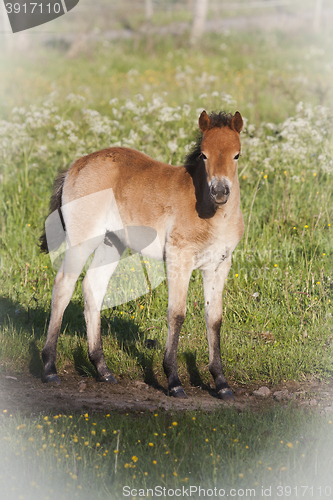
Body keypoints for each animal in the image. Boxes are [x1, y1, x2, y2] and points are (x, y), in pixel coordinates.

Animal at [40, 108, 243, 398]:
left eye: (237, 155)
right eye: (204, 154)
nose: (220, 191)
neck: (211, 213)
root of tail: (76, 165)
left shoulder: (219, 265)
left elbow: (214, 319)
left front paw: (222, 384)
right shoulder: (179, 259)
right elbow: (177, 314)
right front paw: (174, 381)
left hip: (112, 244)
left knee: (92, 288)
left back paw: (103, 370)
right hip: (81, 238)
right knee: (63, 287)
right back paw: (49, 369)